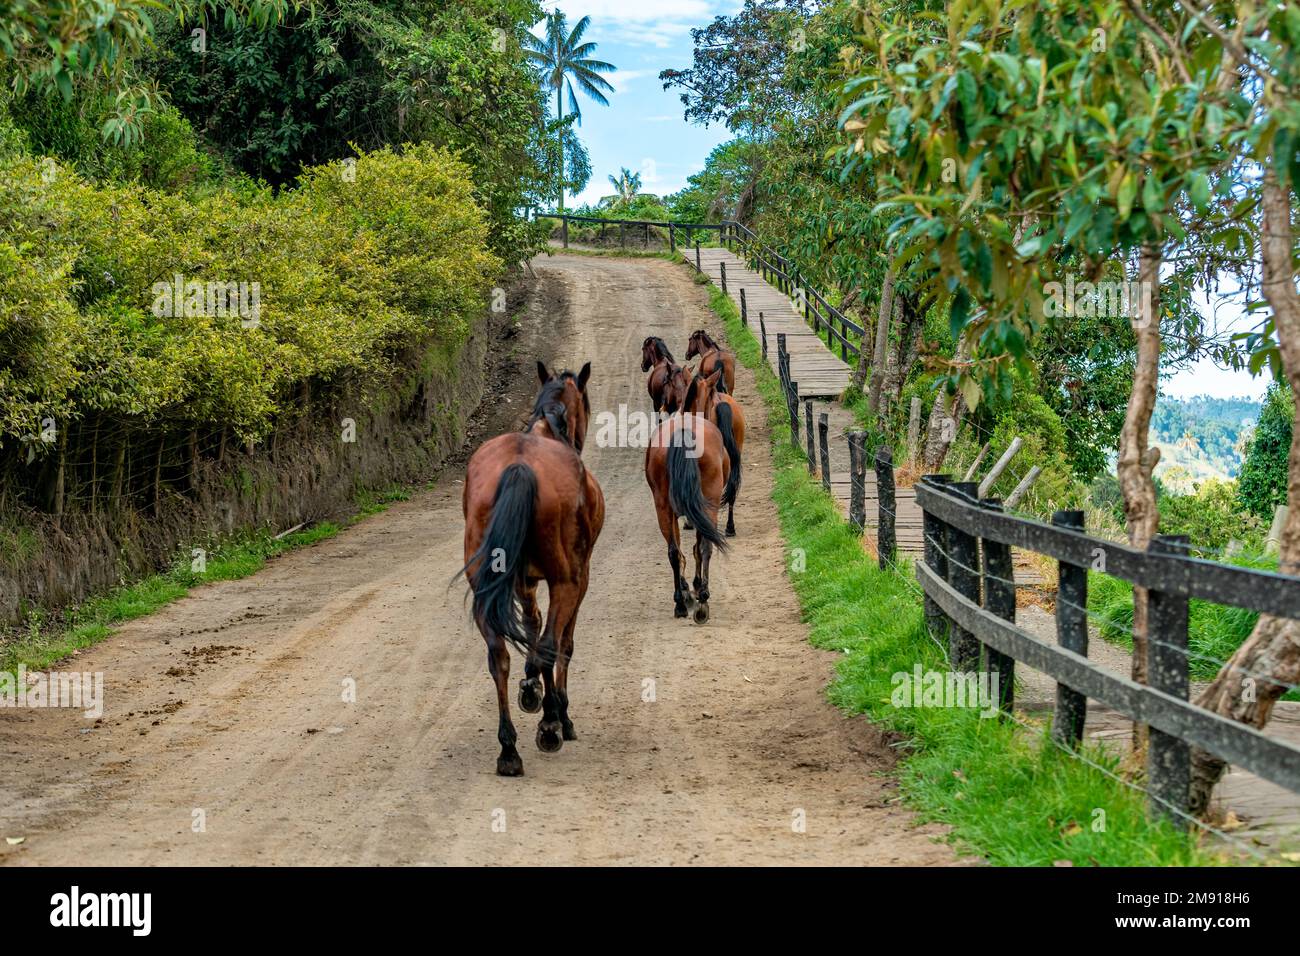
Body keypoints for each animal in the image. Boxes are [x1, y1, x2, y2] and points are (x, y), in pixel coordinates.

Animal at [462, 361, 603, 775]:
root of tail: (519, 466)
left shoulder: (523, 582)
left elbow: (532, 628)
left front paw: (533, 690)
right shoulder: (579, 578)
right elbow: (560, 643)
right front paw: (557, 712)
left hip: (484, 587)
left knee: (499, 656)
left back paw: (509, 748)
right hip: (566, 580)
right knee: (552, 645)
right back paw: (551, 726)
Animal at [642, 377, 728, 624]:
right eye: (712, 398)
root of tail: (683, 431)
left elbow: (681, 548)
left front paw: (687, 589)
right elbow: (696, 546)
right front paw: (696, 587)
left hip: (663, 506)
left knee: (673, 551)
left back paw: (680, 603)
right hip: (708, 503)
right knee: (704, 546)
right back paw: (702, 600)